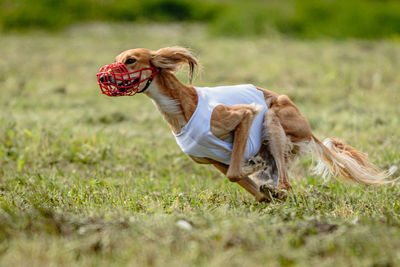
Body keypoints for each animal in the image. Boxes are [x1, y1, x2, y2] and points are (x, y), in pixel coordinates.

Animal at [96, 46, 394, 202]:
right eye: (117, 59)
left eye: (130, 60)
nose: (103, 77)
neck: (181, 107)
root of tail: (310, 131)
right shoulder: (213, 160)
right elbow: (240, 179)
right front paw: (263, 191)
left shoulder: (244, 116)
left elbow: (236, 172)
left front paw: (257, 175)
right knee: (277, 183)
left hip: (274, 119)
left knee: (285, 181)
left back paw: (276, 187)